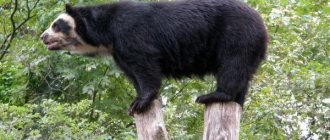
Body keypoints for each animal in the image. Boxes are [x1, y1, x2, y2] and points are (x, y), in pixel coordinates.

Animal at [40, 0, 268, 115]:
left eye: (56, 25)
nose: (43, 37)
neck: (107, 33)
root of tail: (261, 23)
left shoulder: (131, 33)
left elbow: (145, 65)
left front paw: (140, 102)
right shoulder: (118, 52)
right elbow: (132, 73)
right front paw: (138, 100)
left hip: (236, 35)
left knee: (232, 65)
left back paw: (214, 96)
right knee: (242, 74)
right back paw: (236, 101)